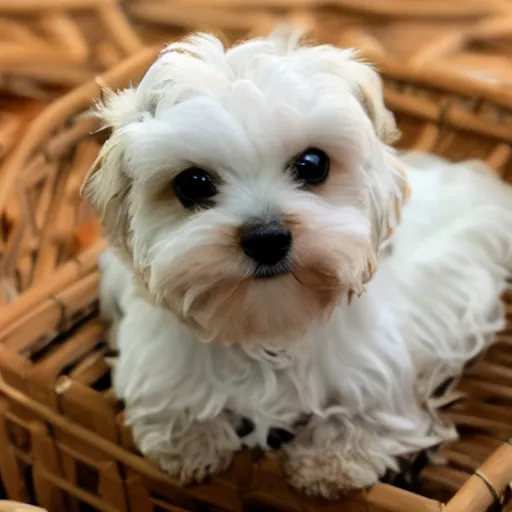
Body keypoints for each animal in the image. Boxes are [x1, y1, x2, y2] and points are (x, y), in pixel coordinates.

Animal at [81, 30, 512, 498]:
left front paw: (327, 463)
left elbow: (364, 418)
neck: (271, 319)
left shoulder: (379, 373)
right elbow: (176, 406)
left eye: (313, 164)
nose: (267, 238)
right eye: (193, 183)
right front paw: (194, 446)